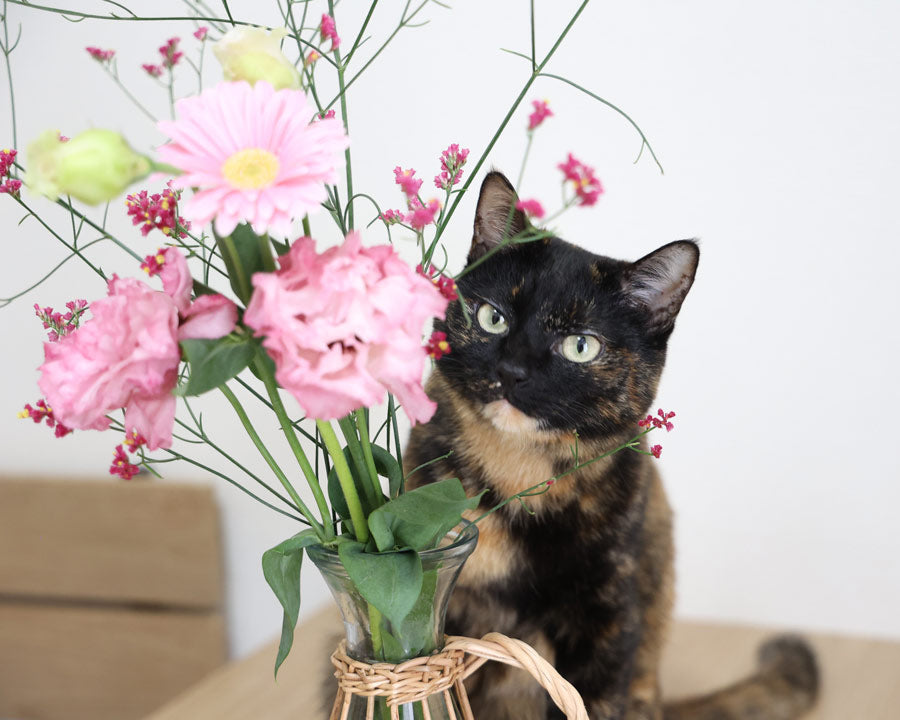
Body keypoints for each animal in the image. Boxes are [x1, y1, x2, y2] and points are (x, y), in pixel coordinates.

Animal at [404, 173, 820, 720]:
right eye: (494, 318)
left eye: (580, 346)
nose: (512, 371)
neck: (521, 471)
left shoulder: (606, 613)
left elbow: (590, 700)